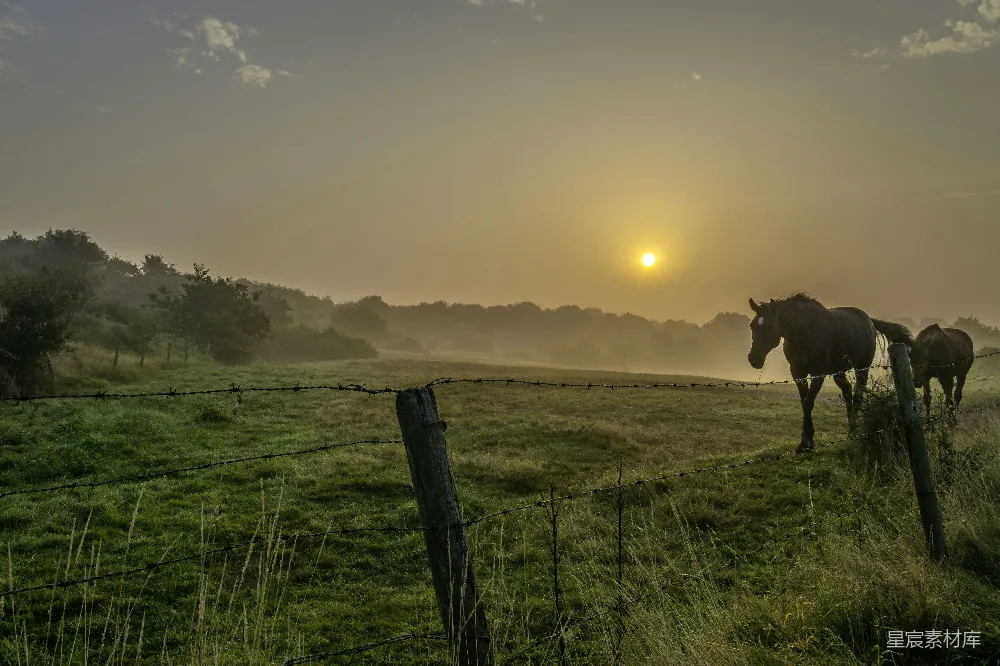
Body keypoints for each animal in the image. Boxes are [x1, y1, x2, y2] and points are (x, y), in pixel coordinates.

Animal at [747, 293, 914, 453]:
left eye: (770, 327)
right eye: (752, 325)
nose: (754, 359)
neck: (804, 332)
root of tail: (869, 321)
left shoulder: (818, 373)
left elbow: (808, 402)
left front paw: (805, 443)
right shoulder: (797, 372)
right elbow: (804, 401)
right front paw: (807, 440)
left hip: (862, 369)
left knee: (858, 396)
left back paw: (855, 431)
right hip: (838, 373)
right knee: (847, 392)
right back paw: (851, 430)